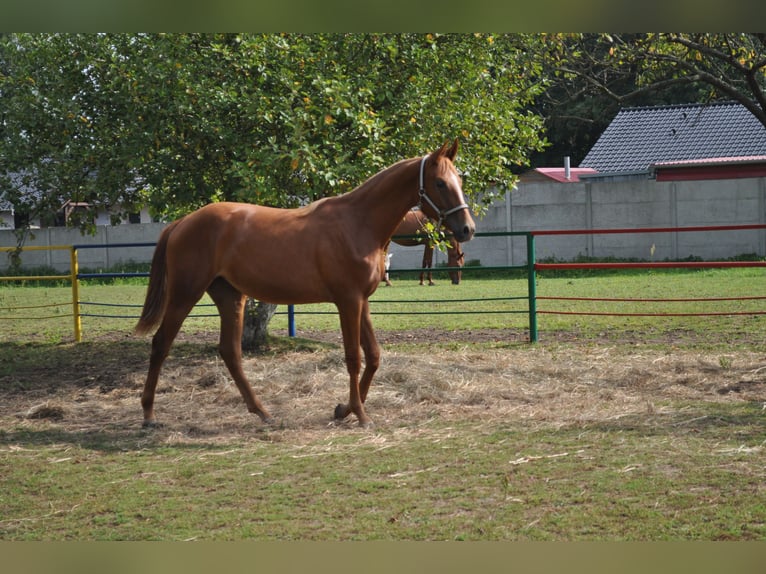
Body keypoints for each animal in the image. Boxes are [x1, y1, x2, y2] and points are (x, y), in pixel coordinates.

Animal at [135, 140, 476, 428]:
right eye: (440, 183)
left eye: (459, 181)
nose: (467, 229)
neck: (358, 223)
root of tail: (182, 222)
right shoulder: (348, 301)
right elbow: (354, 357)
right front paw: (360, 415)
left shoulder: (362, 301)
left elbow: (374, 356)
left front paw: (344, 409)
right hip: (184, 294)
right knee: (161, 343)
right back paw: (149, 414)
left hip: (230, 296)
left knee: (230, 352)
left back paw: (262, 412)